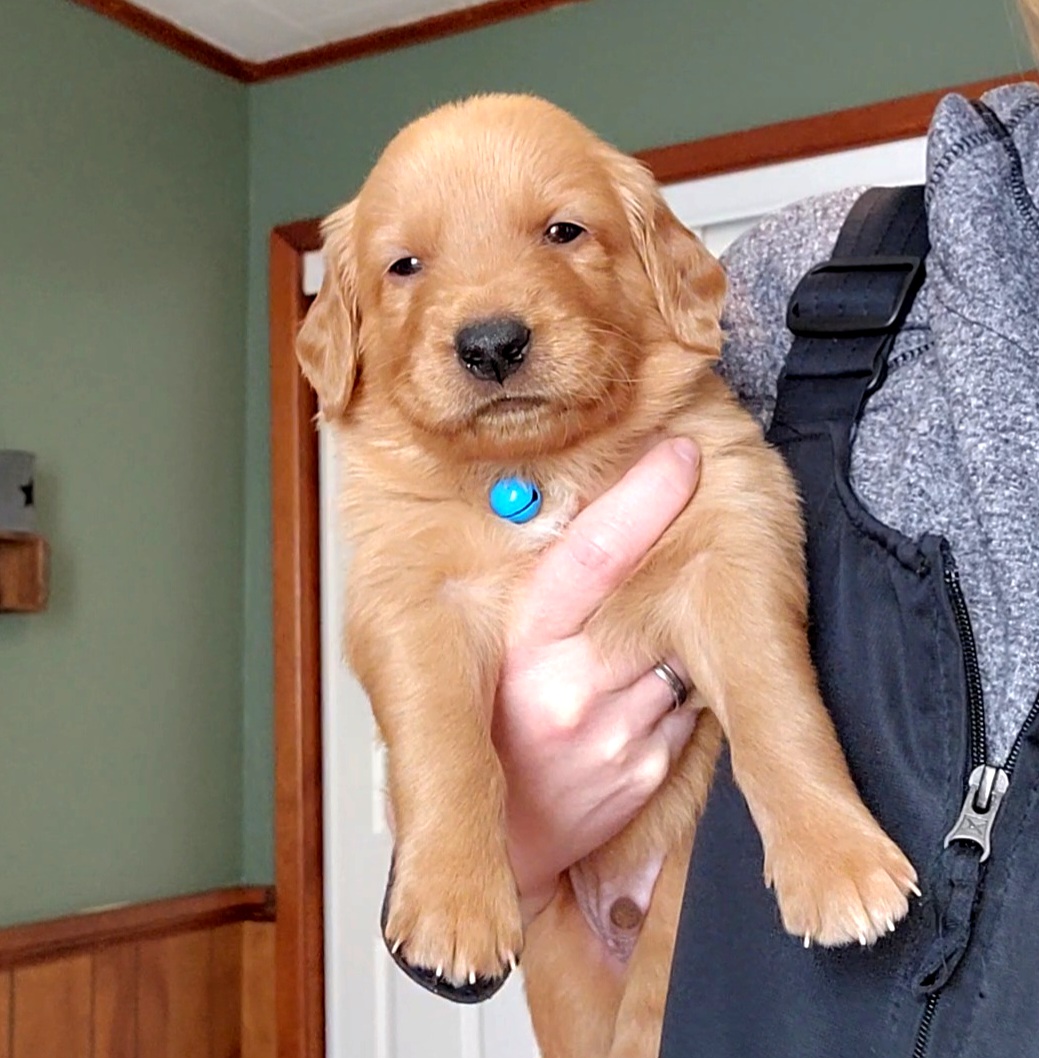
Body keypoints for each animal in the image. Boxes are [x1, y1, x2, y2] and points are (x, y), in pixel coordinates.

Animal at [296, 93, 918, 1058]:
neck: (536, 472)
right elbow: (444, 743)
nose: (491, 344)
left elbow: (776, 703)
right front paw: (450, 905)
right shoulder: (404, 595)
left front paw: (838, 860)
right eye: (404, 265)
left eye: (563, 231)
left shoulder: (734, 530)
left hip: (662, 952)